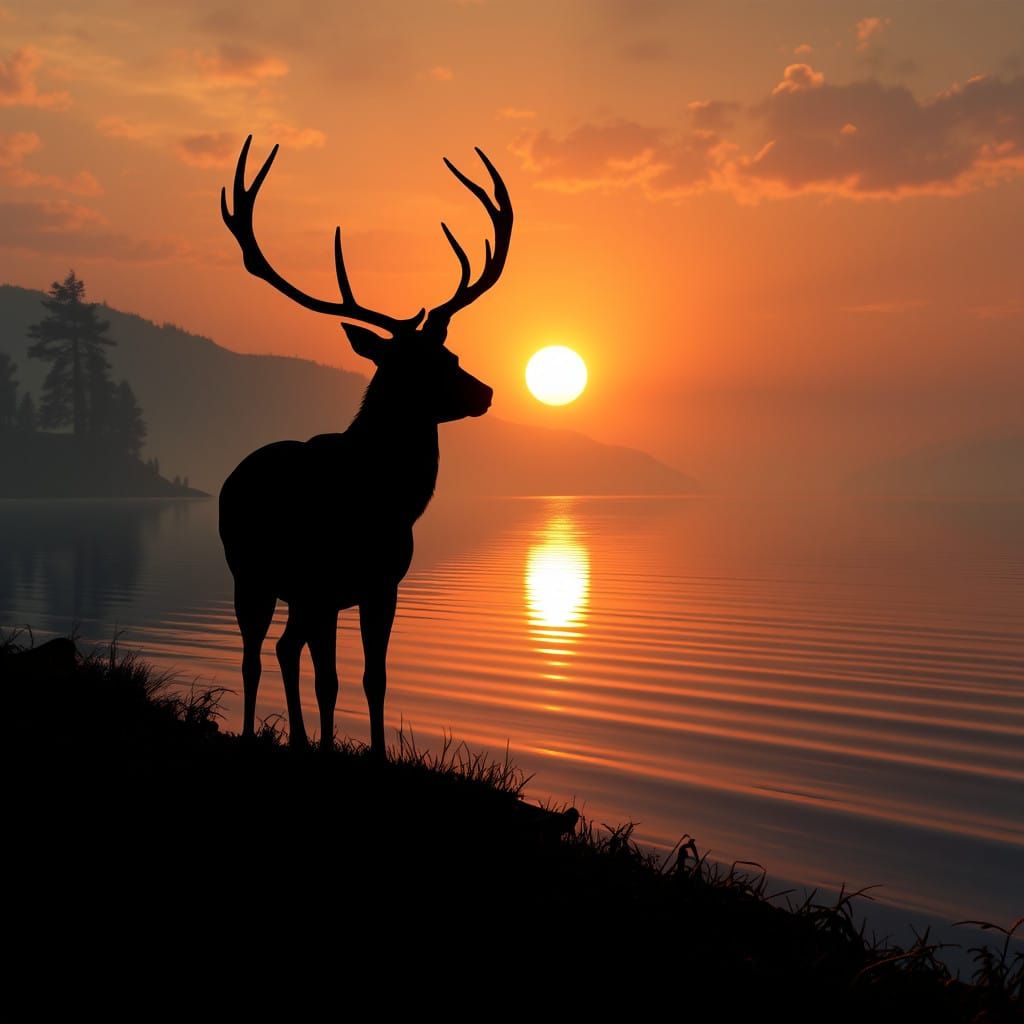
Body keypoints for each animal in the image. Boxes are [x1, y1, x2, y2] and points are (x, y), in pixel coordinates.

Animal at [218, 135, 512, 756]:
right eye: (417, 366)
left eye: (448, 354)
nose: (486, 391)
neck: (389, 500)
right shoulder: (322, 582)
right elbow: (328, 679)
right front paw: (331, 747)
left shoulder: (381, 584)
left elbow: (373, 678)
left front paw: (370, 751)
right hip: (248, 572)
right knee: (255, 655)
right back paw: (258, 734)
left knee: (284, 647)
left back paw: (299, 739)